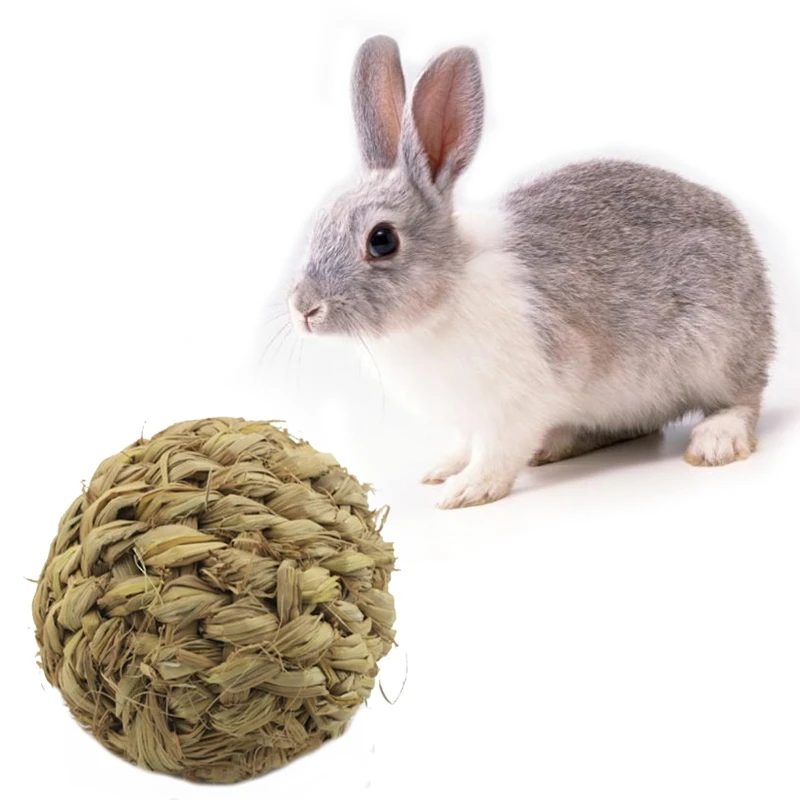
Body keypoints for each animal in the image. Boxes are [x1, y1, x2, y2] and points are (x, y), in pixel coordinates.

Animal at [287, 35, 775, 509]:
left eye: (382, 240)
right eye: (320, 222)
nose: (304, 309)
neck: (446, 292)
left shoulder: (516, 403)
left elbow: (496, 453)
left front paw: (467, 490)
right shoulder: (471, 418)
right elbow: (465, 444)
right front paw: (443, 469)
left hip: (716, 353)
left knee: (743, 400)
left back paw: (715, 442)